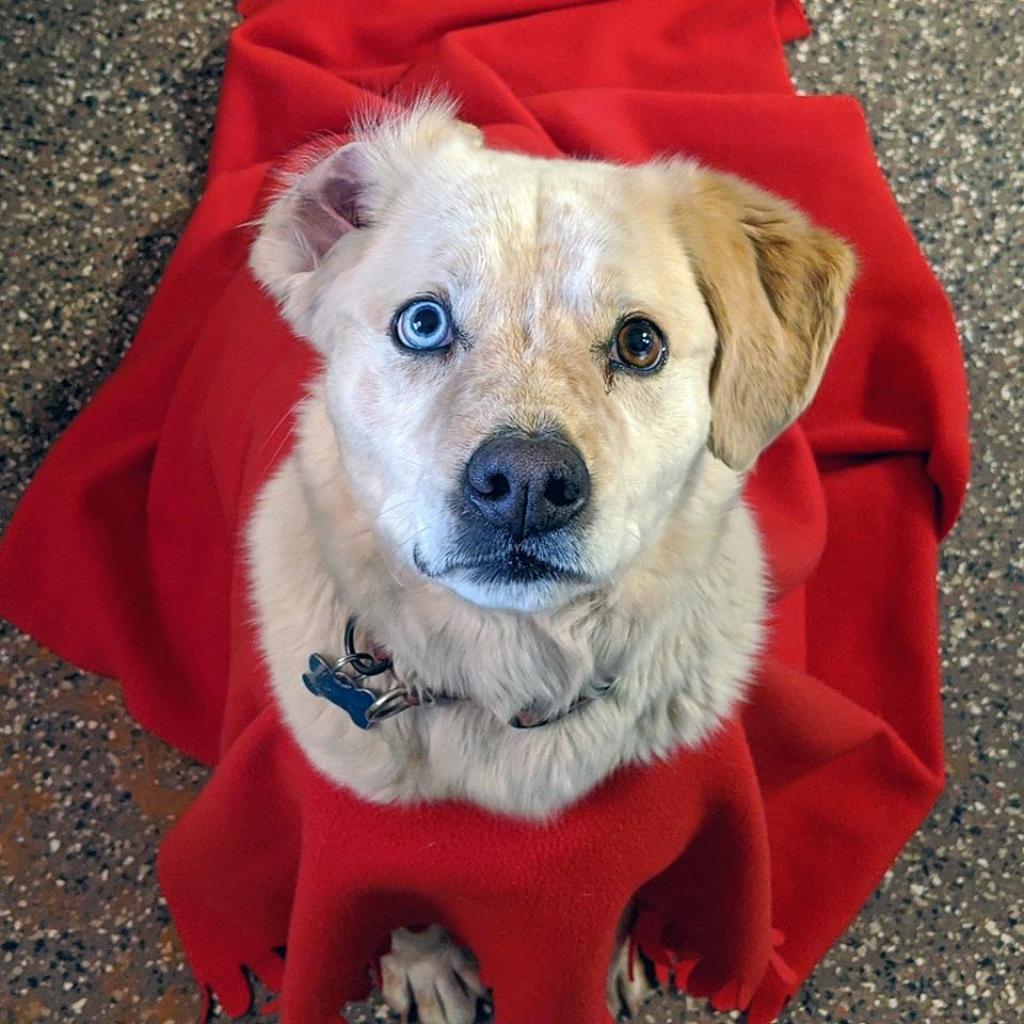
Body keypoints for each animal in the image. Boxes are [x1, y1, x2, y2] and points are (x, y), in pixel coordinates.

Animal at [241, 97, 856, 1024]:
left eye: (640, 344)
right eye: (422, 323)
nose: (527, 483)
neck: (517, 684)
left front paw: (618, 960)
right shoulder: (361, 841)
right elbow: (402, 907)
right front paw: (427, 967)